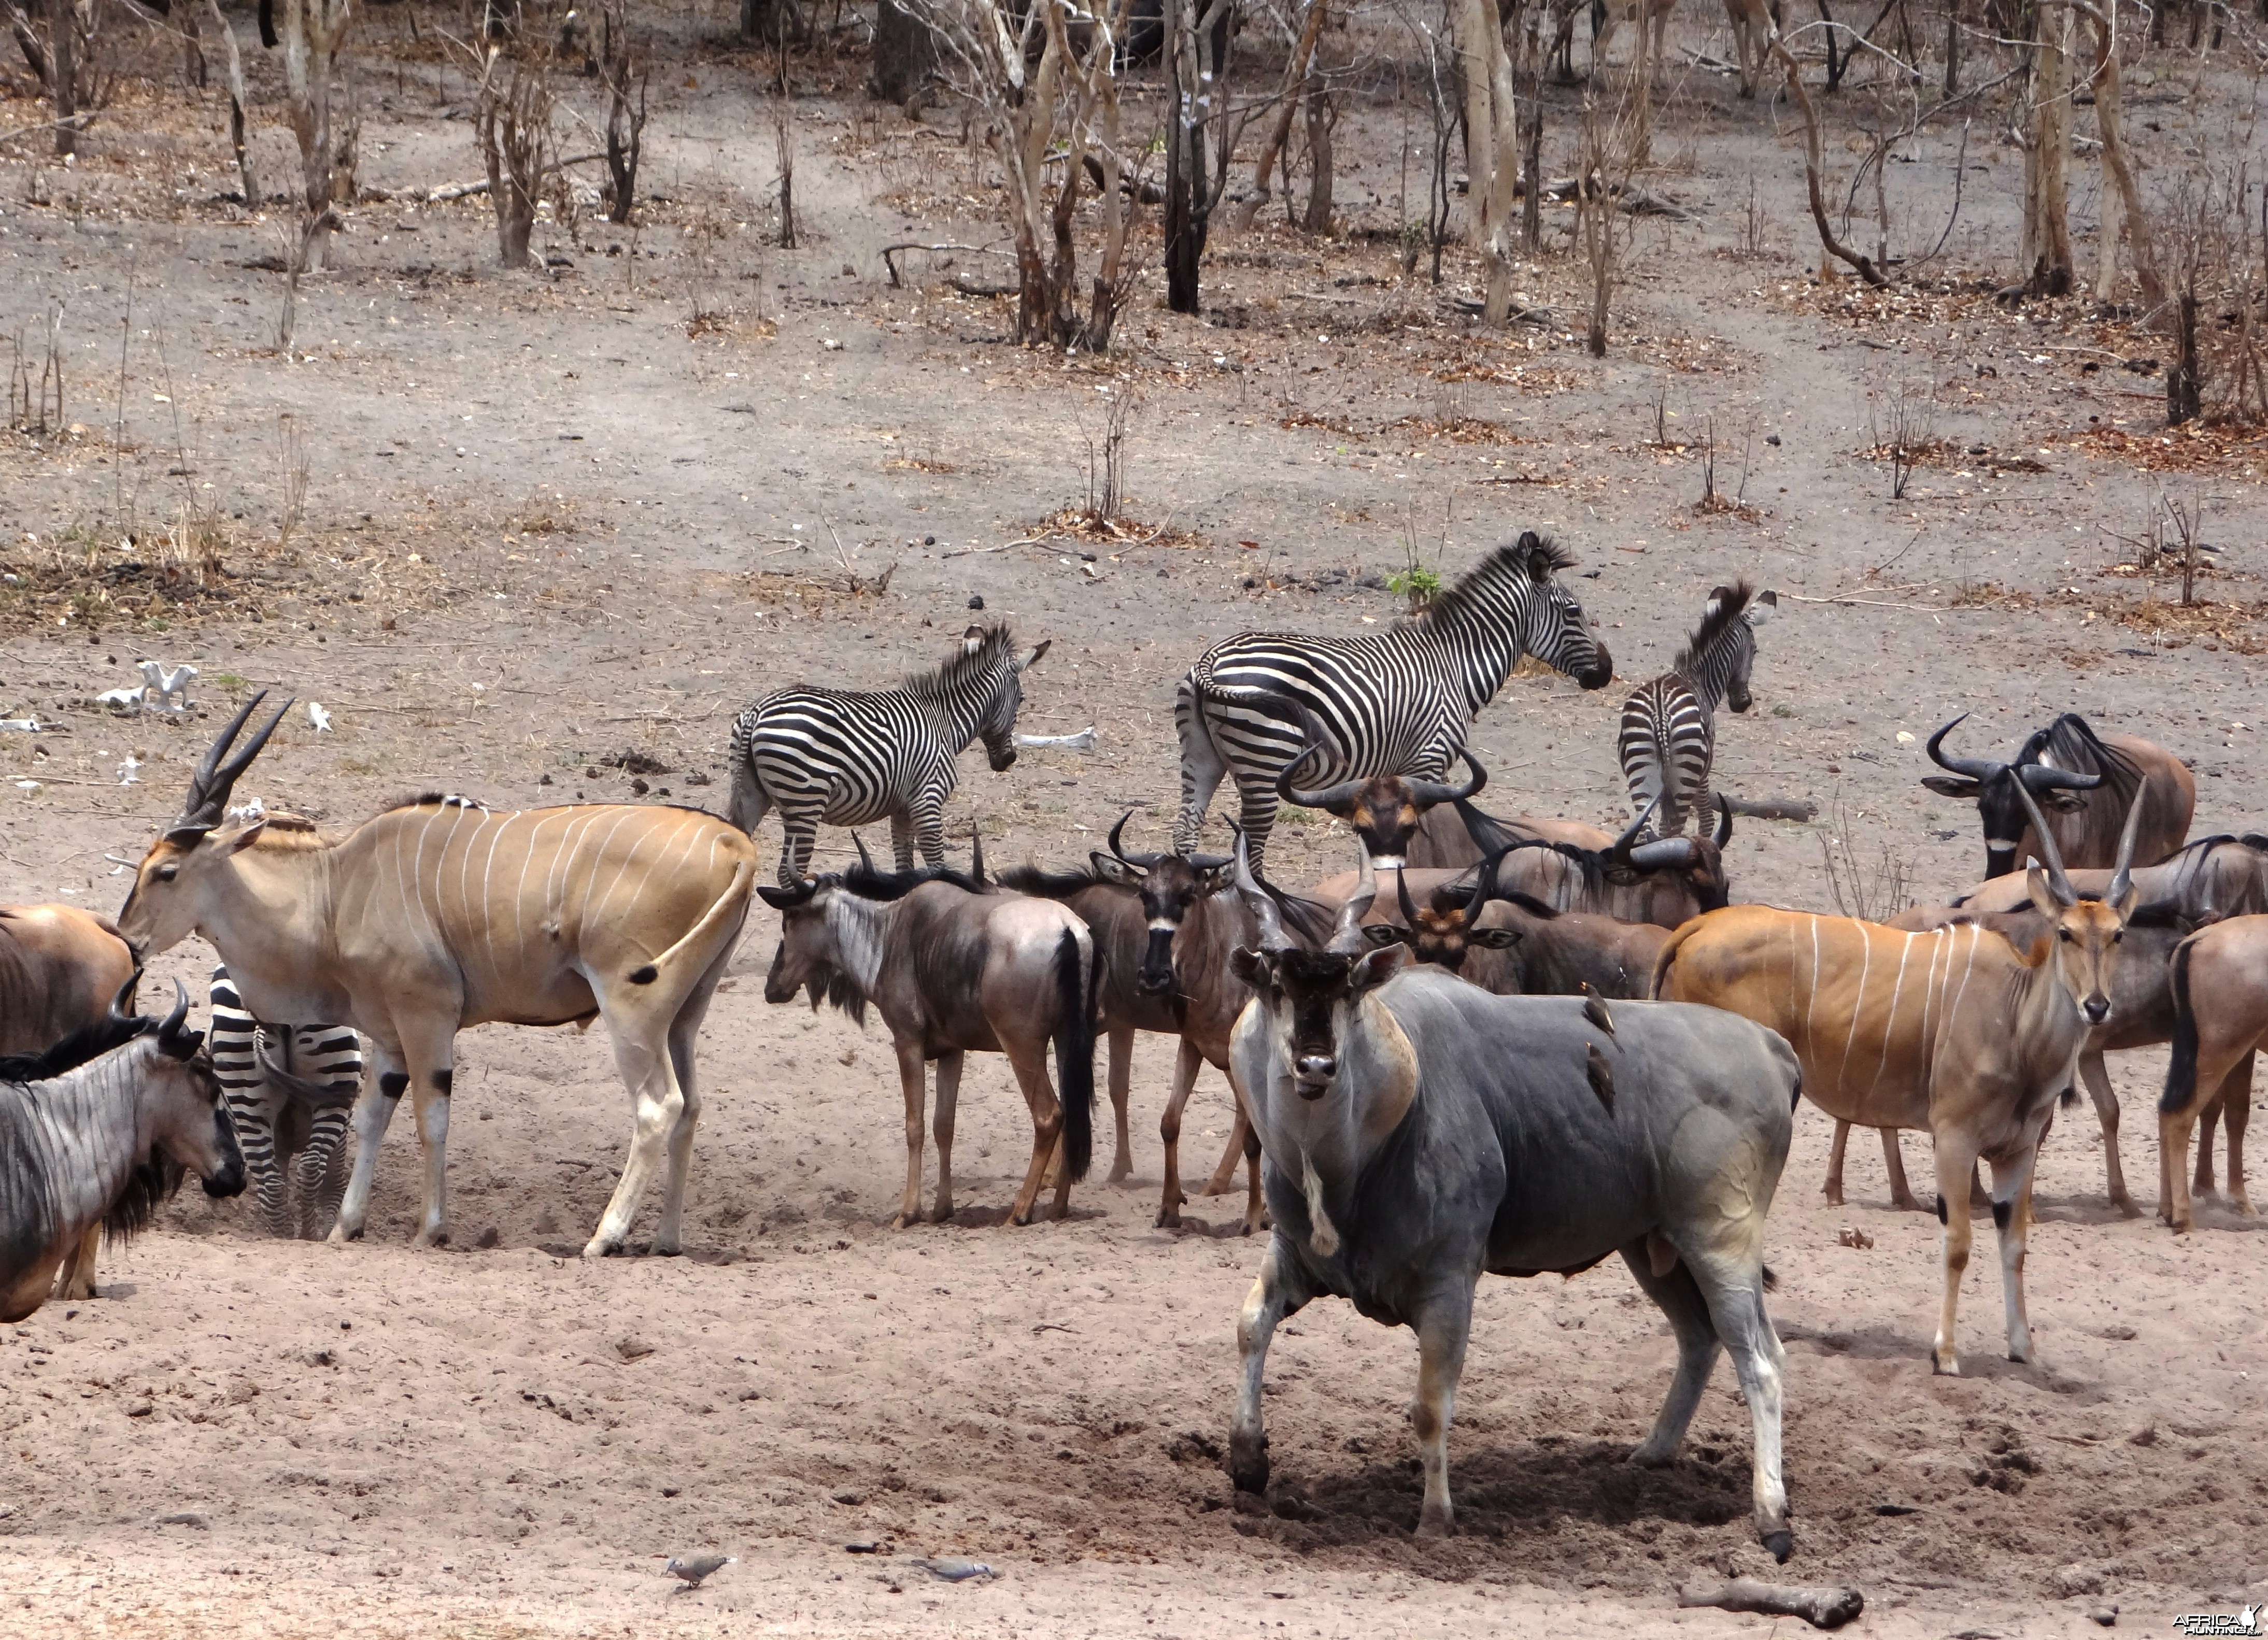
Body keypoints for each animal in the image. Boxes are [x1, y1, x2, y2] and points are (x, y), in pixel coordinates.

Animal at [208, 971, 363, 1234]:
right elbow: (334, 1182)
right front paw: (330, 1227)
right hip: (333, 1097)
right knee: (311, 1167)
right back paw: (309, 1236)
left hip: (247, 1099)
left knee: (270, 1179)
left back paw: (284, 1236)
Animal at [730, 626, 1047, 885]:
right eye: (1021, 700)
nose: (1008, 761)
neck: (945, 721)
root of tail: (757, 712)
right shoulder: (927, 800)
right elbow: (937, 866)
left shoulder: (903, 808)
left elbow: (905, 869)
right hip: (805, 803)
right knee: (788, 874)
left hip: (752, 792)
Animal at [1170, 535, 1614, 871]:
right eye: (1574, 612)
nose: (1607, 671)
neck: (1456, 666)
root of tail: (1212, 658)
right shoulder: (1429, 761)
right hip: (1264, 759)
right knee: (1252, 847)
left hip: (1202, 756)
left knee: (1185, 832)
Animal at [1234, 848, 1796, 1551]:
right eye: (1275, 987)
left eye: (1348, 991)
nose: (1315, 1067)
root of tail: (1773, 1049)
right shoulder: (1295, 1256)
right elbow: (1251, 1326)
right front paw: (1247, 1460)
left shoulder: (1448, 1283)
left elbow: (1430, 1406)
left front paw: (1435, 1517)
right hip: (1652, 1246)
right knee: (1699, 1338)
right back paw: (1650, 1455)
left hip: (1721, 1243)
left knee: (1762, 1360)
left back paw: (1770, 1516)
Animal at [1614, 585, 1769, 839]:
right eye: (1755, 651)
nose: (1744, 704)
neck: (1697, 678)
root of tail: (1660, 713)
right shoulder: (1703, 775)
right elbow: (1706, 820)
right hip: (1685, 773)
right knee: (1673, 830)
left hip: (1642, 769)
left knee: (1647, 829)